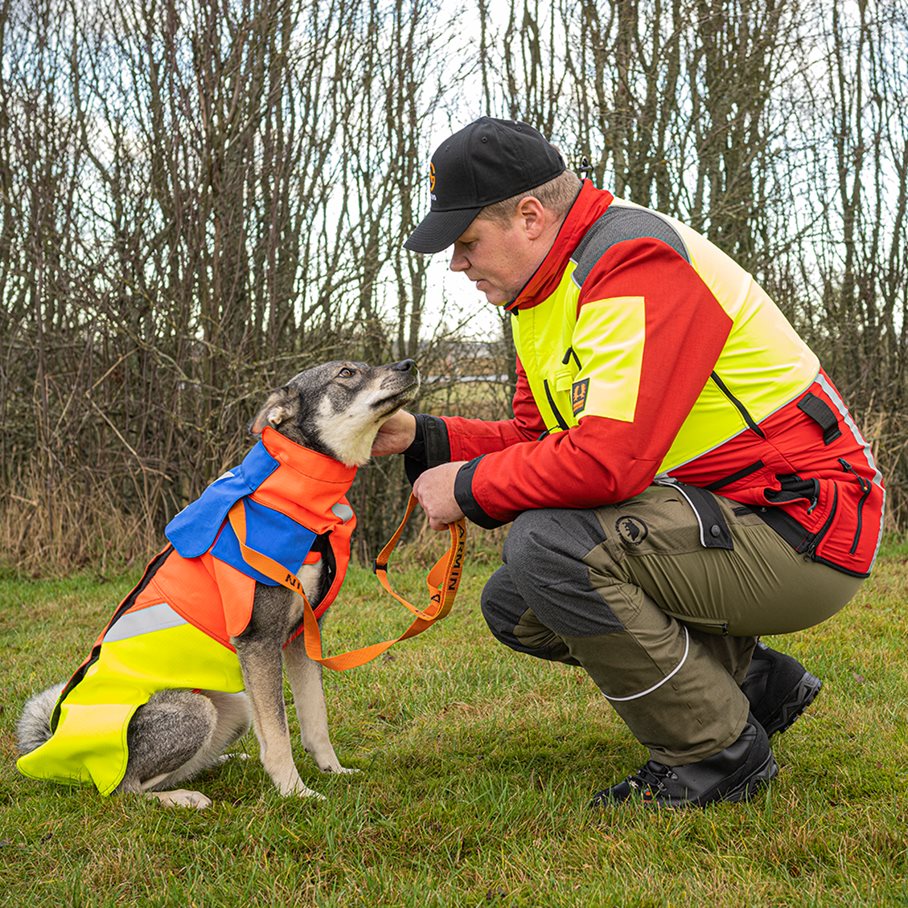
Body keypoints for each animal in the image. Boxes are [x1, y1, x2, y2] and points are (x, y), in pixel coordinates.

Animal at [16, 358, 419, 808]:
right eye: (346, 373)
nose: (409, 365)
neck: (302, 500)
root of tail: (64, 755)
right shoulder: (259, 641)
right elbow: (278, 734)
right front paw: (295, 791)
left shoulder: (302, 638)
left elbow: (315, 720)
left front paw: (333, 771)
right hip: (193, 713)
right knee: (125, 789)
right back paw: (182, 798)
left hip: (235, 706)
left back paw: (225, 761)